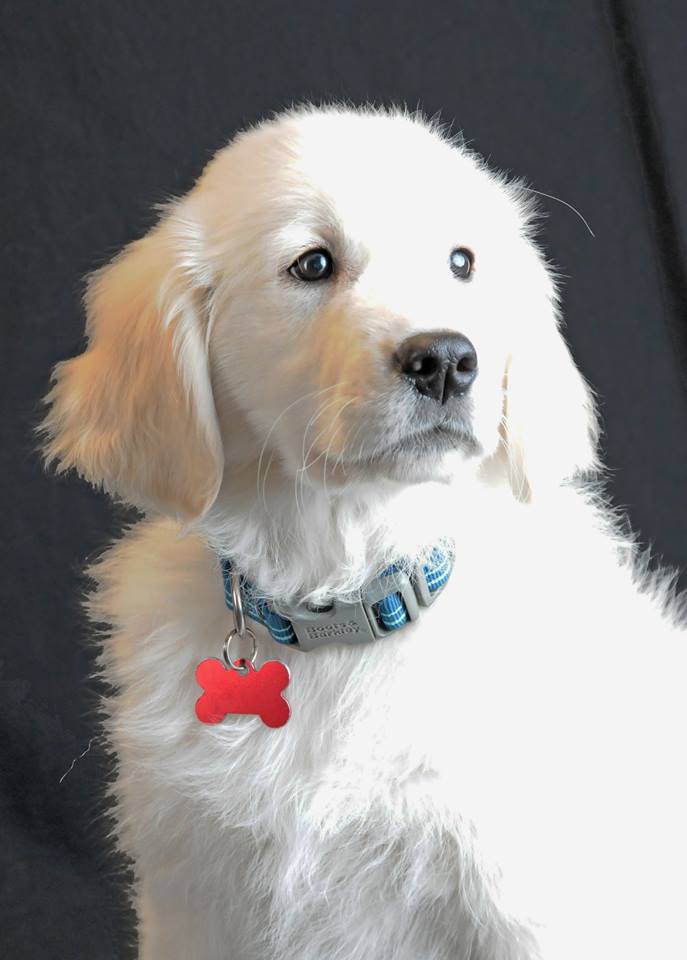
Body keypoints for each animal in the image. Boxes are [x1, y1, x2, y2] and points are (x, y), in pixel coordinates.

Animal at [41, 109, 684, 960]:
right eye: (312, 264)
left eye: (460, 262)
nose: (444, 359)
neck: (347, 602)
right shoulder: (195, 900)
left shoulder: (535, 903)